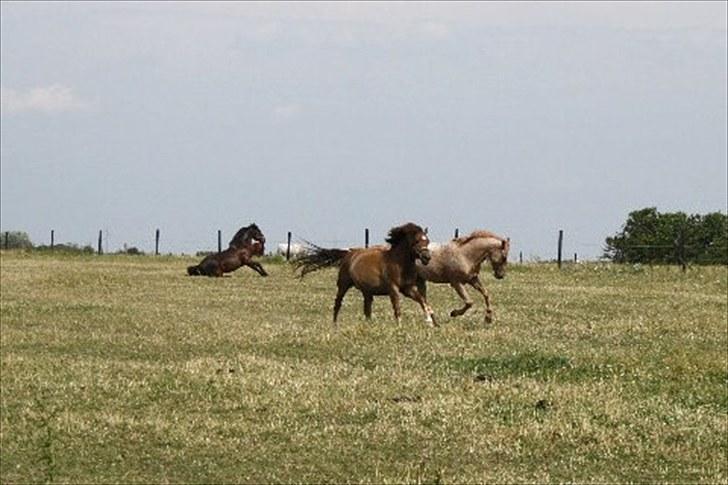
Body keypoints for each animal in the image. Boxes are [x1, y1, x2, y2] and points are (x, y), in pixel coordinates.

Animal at [292, 223, 436, 326]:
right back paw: (335, 325)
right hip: (343, 284)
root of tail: (348, 254)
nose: (427, 258)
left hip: (367, 291)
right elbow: (397, 307)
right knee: (338, 303)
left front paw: (429, 320)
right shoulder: (393, 288)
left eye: (427, 241)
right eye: (416, 241)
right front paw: (399, 326)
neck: (398, 263)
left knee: (367, 309)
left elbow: (422, 300)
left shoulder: (408, 288)